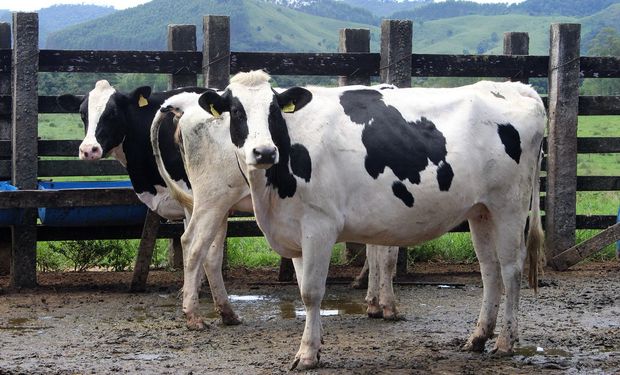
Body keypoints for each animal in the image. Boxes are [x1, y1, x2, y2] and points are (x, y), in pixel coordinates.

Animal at [196, 71, 544, 370]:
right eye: (236, 111)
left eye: (274, 111)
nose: (265, 152)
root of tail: (512, 87)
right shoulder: (294, 232)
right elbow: (302, 289)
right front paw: (314, 348)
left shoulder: (319, 226)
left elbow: (311, 292)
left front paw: (307, 354)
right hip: (481, 210)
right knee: (489, 269)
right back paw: (478, 337)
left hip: (509, 204)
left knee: (511, 269)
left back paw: (505, 343)